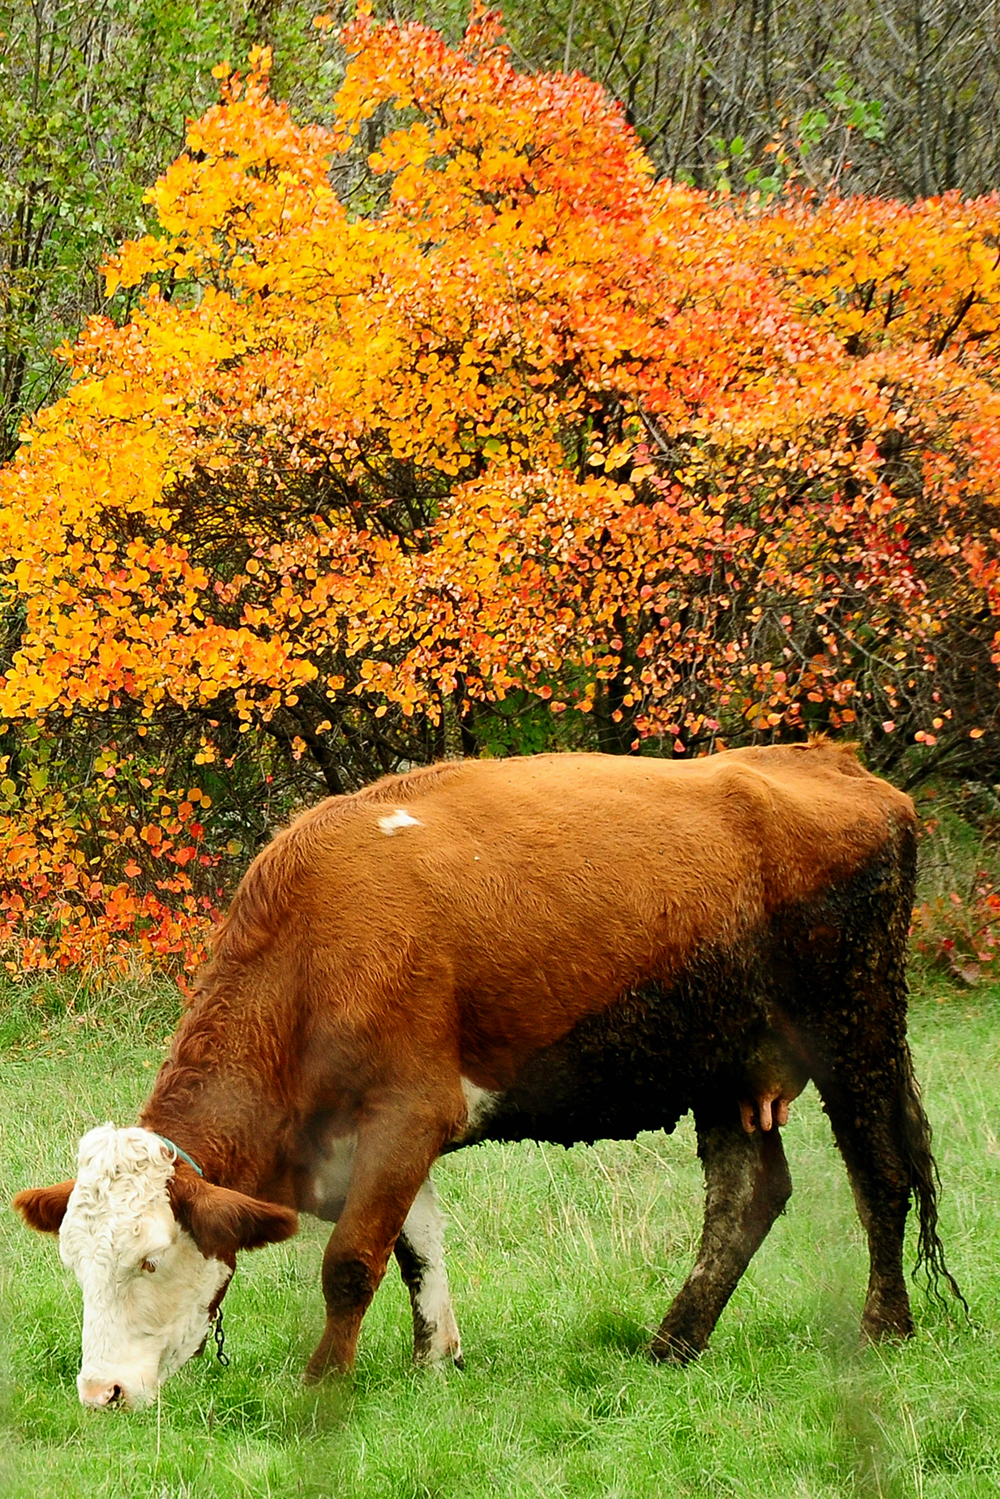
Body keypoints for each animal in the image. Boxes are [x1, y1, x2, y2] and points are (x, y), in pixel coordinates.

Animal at [9, 743, 959, 1409]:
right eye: (74, 1262)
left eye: (150, 1259)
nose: (101, 1393)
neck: (316, 948)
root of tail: (831, 761)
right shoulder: (377, 1134)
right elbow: (417, 1250)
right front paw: (435, 1360)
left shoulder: (408, 1112)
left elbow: (352, 1259)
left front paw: (323, 1383)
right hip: (723, 1061)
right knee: (747, 1194)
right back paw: (673, 1342)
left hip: (857, 1029)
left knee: (881, 1176)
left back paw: (885, 1328)